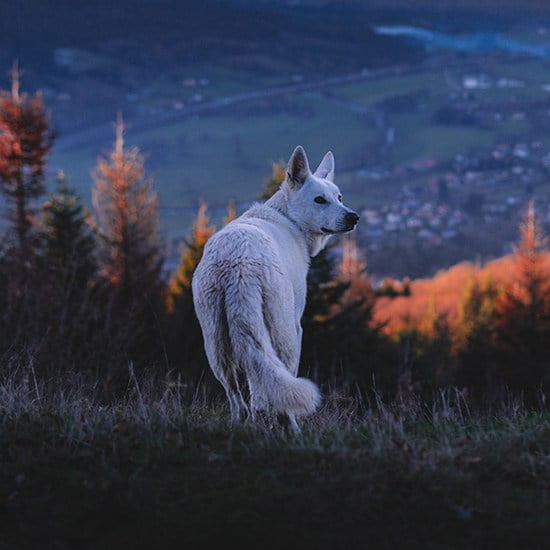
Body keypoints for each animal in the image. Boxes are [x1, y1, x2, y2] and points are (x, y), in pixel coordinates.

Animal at [192, 147, 360, 432]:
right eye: (319, 200)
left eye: (338, 197)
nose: (353, 217)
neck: (288, 218)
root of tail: (237, 263)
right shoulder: (296, 323)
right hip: (285, 333)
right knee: (280, 386)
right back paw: (291, 427)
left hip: (216, 341)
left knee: (239, 397)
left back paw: (242, 425)